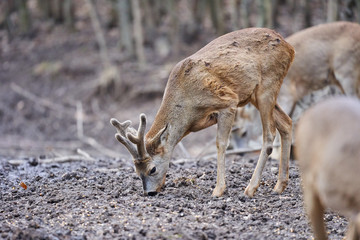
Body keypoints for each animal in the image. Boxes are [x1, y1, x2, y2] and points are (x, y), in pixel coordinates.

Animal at [111, 28, 294, 197]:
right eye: (136, 171)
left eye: (152, 169)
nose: (149, 192)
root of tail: (289, 47)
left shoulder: (228, 101)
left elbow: (221, 143)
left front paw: (218, 190)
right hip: (256, 94)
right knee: (286, 122)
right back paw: (279, 186)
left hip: (267, 85)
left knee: (269, 134)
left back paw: (250, 188)